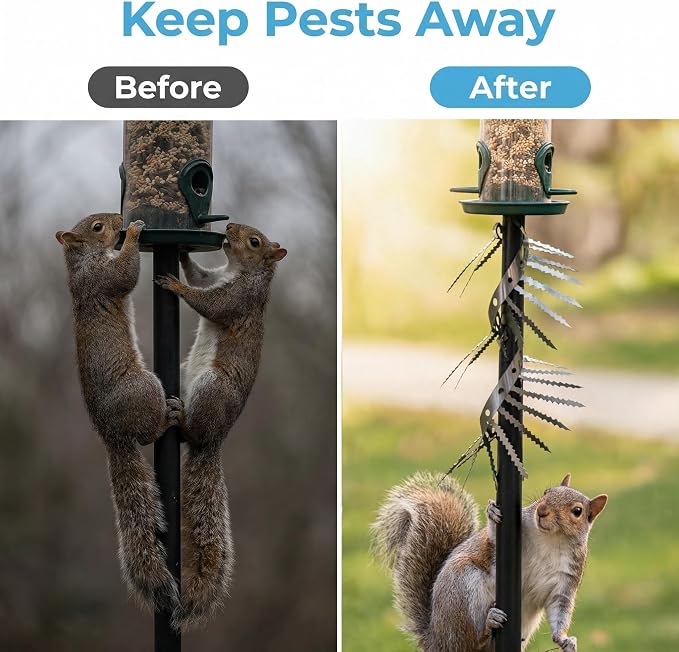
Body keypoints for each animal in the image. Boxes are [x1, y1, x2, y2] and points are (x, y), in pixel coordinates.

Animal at [56, 214, 183, 614]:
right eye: (97, 227)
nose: (119, 220)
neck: (80, 264)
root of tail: (112, 435)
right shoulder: (102, 278)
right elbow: (125, 273)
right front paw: (136, 232)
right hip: (146, 388)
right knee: (149, 432)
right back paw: (168, 418)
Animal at [155, 222, 287, 629]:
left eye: (255, 242)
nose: (229, 227)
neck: (237, 271)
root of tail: (214, 438)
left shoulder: (238, 298)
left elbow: (210, 303)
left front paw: (175, 286)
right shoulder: (215, 278)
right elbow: (200, 276)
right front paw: (182, 256)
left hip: (212, 387)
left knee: (190, 431)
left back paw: (181, 417)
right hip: (185, 374)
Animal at [372, 472, 608, 652]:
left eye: (577, 511)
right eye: (546, 492)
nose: (541, 511)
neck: (550, 540)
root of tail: (436, 639)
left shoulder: (566, 578)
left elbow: (560, 609)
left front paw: (564, 640)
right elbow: (492, 540)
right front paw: (493, 513)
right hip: (463, 590)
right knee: (468, 643)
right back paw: (488, 624)